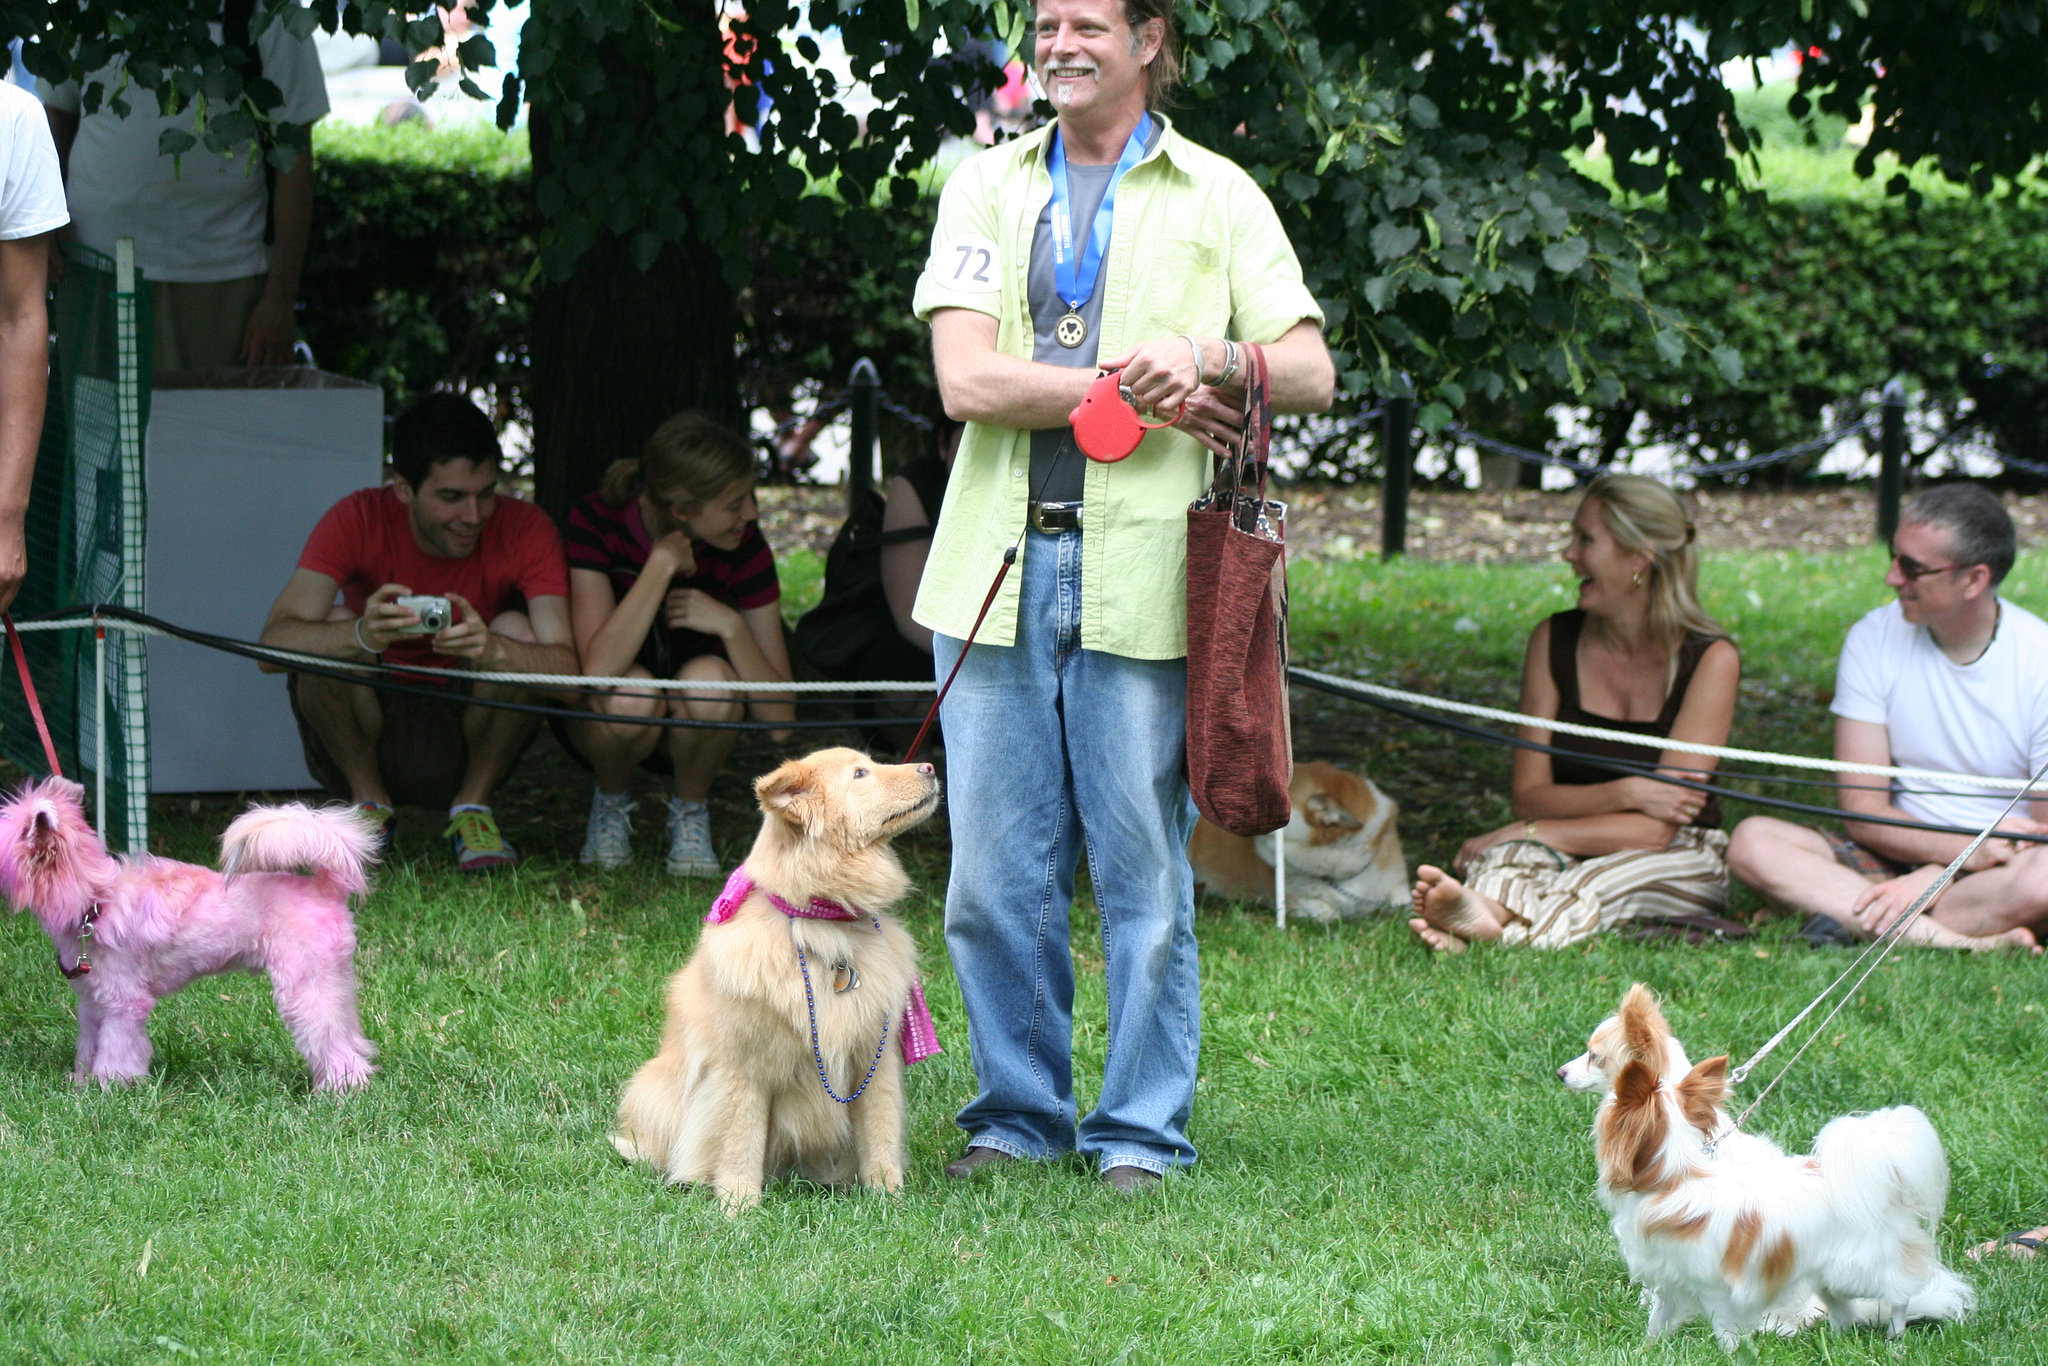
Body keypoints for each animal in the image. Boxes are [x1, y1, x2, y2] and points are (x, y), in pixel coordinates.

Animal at [614, 753, 942, 1212]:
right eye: (860, 774)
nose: (930, 767)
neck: (822, 923)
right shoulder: (743, 1070)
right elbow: (741, 1142)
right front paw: (738, 1207)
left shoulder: (874, 1063)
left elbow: (880, 1135)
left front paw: (889, 1197)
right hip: (655, 1090)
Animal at [1581, 983, 1966, 1343]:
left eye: (1593, 1056)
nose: (1565, 1072)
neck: (1677, 1175)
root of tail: (1884, 1182)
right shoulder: (1670, 1274)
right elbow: (1657, 1318)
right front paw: (1647, 1348)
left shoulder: (1718, 1287)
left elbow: (1722, 1327)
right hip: (1826, 1276)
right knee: (1844, 1310)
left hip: (1857, 1270)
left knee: (1897, 1295)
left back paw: (1893, 1337)